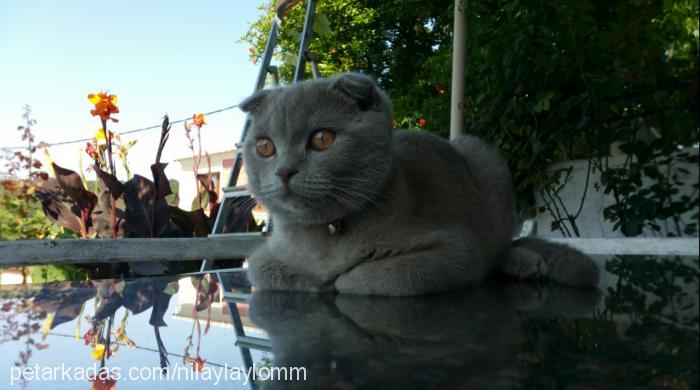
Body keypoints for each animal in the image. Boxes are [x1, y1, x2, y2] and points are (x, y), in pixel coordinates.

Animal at [238, 72, 600, 296]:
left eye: (322, 139)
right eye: (265, 146)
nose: (284, 171)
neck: (328, 234)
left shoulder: (456, 251)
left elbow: (384, 275)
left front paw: (343, 280)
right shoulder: (266, 254)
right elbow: (266, 271)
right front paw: (319, 280)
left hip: (486, 159)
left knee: (501, 245)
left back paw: (524, 262)